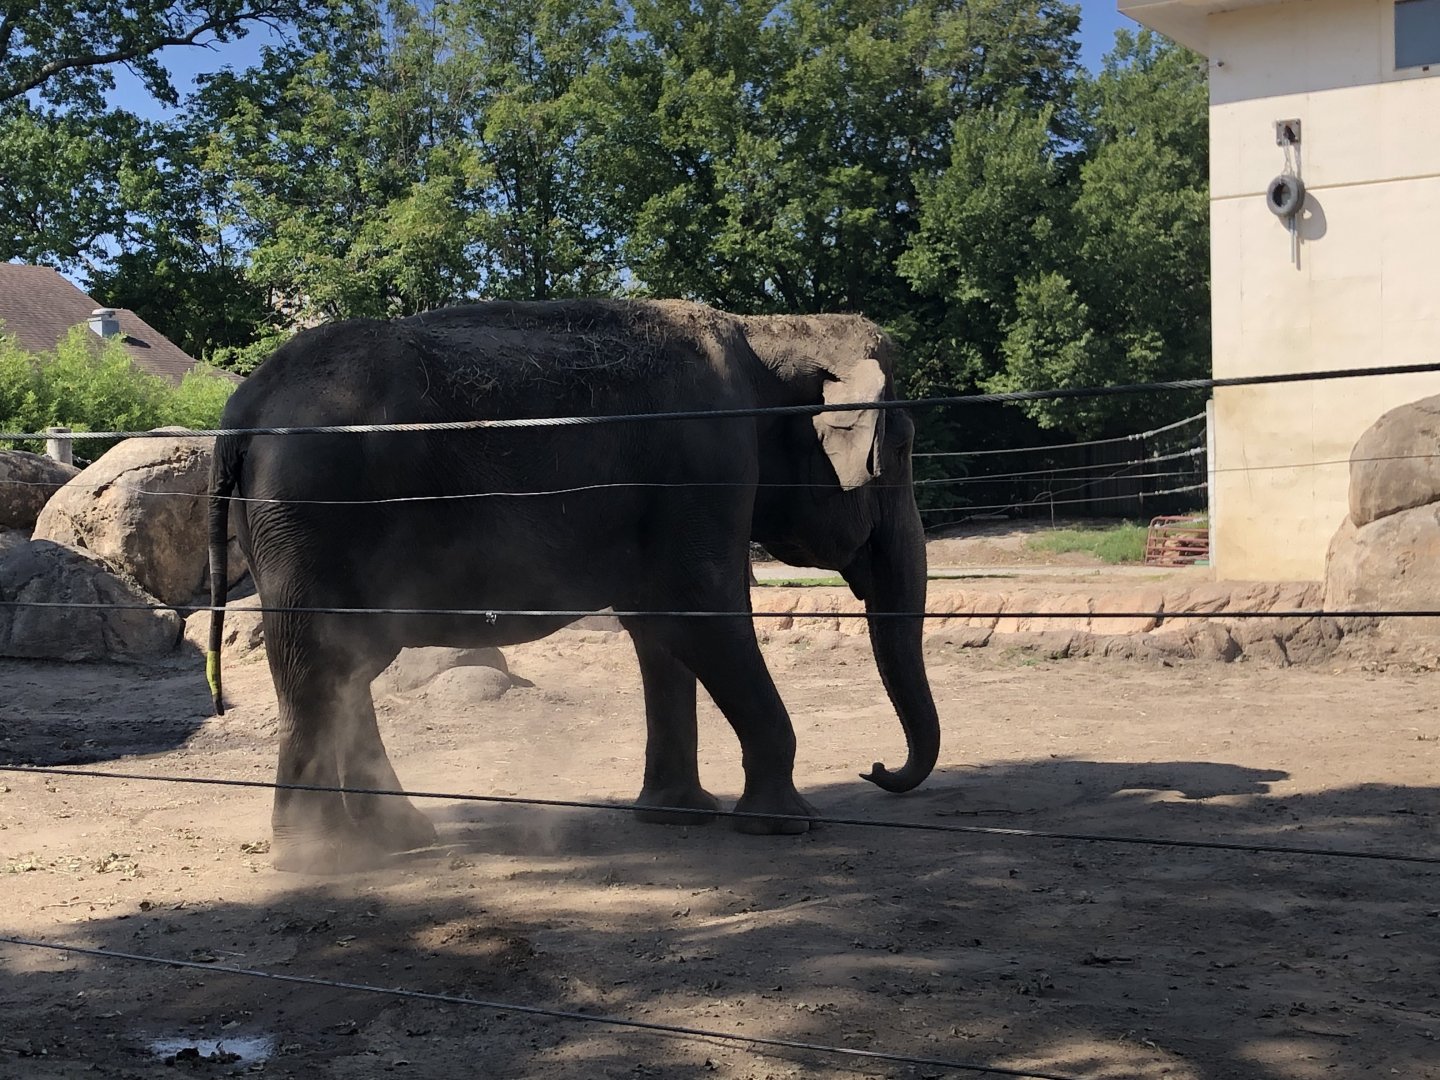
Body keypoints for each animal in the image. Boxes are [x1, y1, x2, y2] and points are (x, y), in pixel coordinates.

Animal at [207, 299, 941, 873]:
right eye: (901, 451)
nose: (876, 769)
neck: (765, 333)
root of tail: (243, 406)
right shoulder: (708, 460)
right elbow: (701, 615)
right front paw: (790, 825)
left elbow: (659, 629)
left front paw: (678, 816)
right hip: (312, 513)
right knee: (321, 664)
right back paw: (321, 859)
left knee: (347, 668)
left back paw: (398, 838)